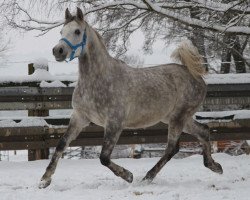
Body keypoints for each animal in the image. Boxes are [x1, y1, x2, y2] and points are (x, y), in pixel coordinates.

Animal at [38, 7, 223, 188]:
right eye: (61, 31)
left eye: (77, 31)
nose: (58, 51)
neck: (98, 79)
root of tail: (196, 76)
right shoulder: (80, 117)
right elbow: (61, 144)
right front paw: (44, 180)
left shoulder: (114, 123)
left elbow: (104, 157)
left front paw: (127, 175)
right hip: (177, 118)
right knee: (203, 131)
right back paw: (214, 166)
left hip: (179, 117)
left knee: (172, 148)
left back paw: (147, 177)